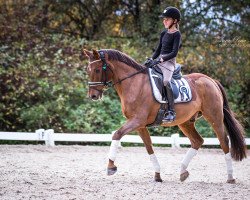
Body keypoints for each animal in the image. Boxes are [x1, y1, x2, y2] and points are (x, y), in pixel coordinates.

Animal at [83, 48, 246, 183]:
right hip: (185, 122)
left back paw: (230, 177)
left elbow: (117, 134)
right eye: (88, 70)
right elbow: (149, 147)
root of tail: (210, 80)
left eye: (97, 69)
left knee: (224, 141)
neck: (134, 83)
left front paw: (111, 166)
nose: (93, 96)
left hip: (214, 117)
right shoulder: (140, 125)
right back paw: (183, 172)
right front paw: (157, 175)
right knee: (197, 141)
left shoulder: (137, 120)